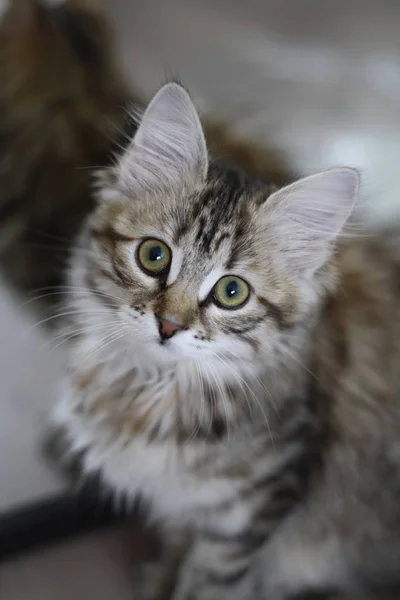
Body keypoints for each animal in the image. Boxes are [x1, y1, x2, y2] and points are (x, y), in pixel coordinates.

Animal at [53, 81, 400, 600]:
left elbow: (205, 586)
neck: (153, 389)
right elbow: (172, 563)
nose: (168, 326)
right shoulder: (182, 509)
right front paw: (155, 583)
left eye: (231, 292)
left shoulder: (246, 519)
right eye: (153, 256)